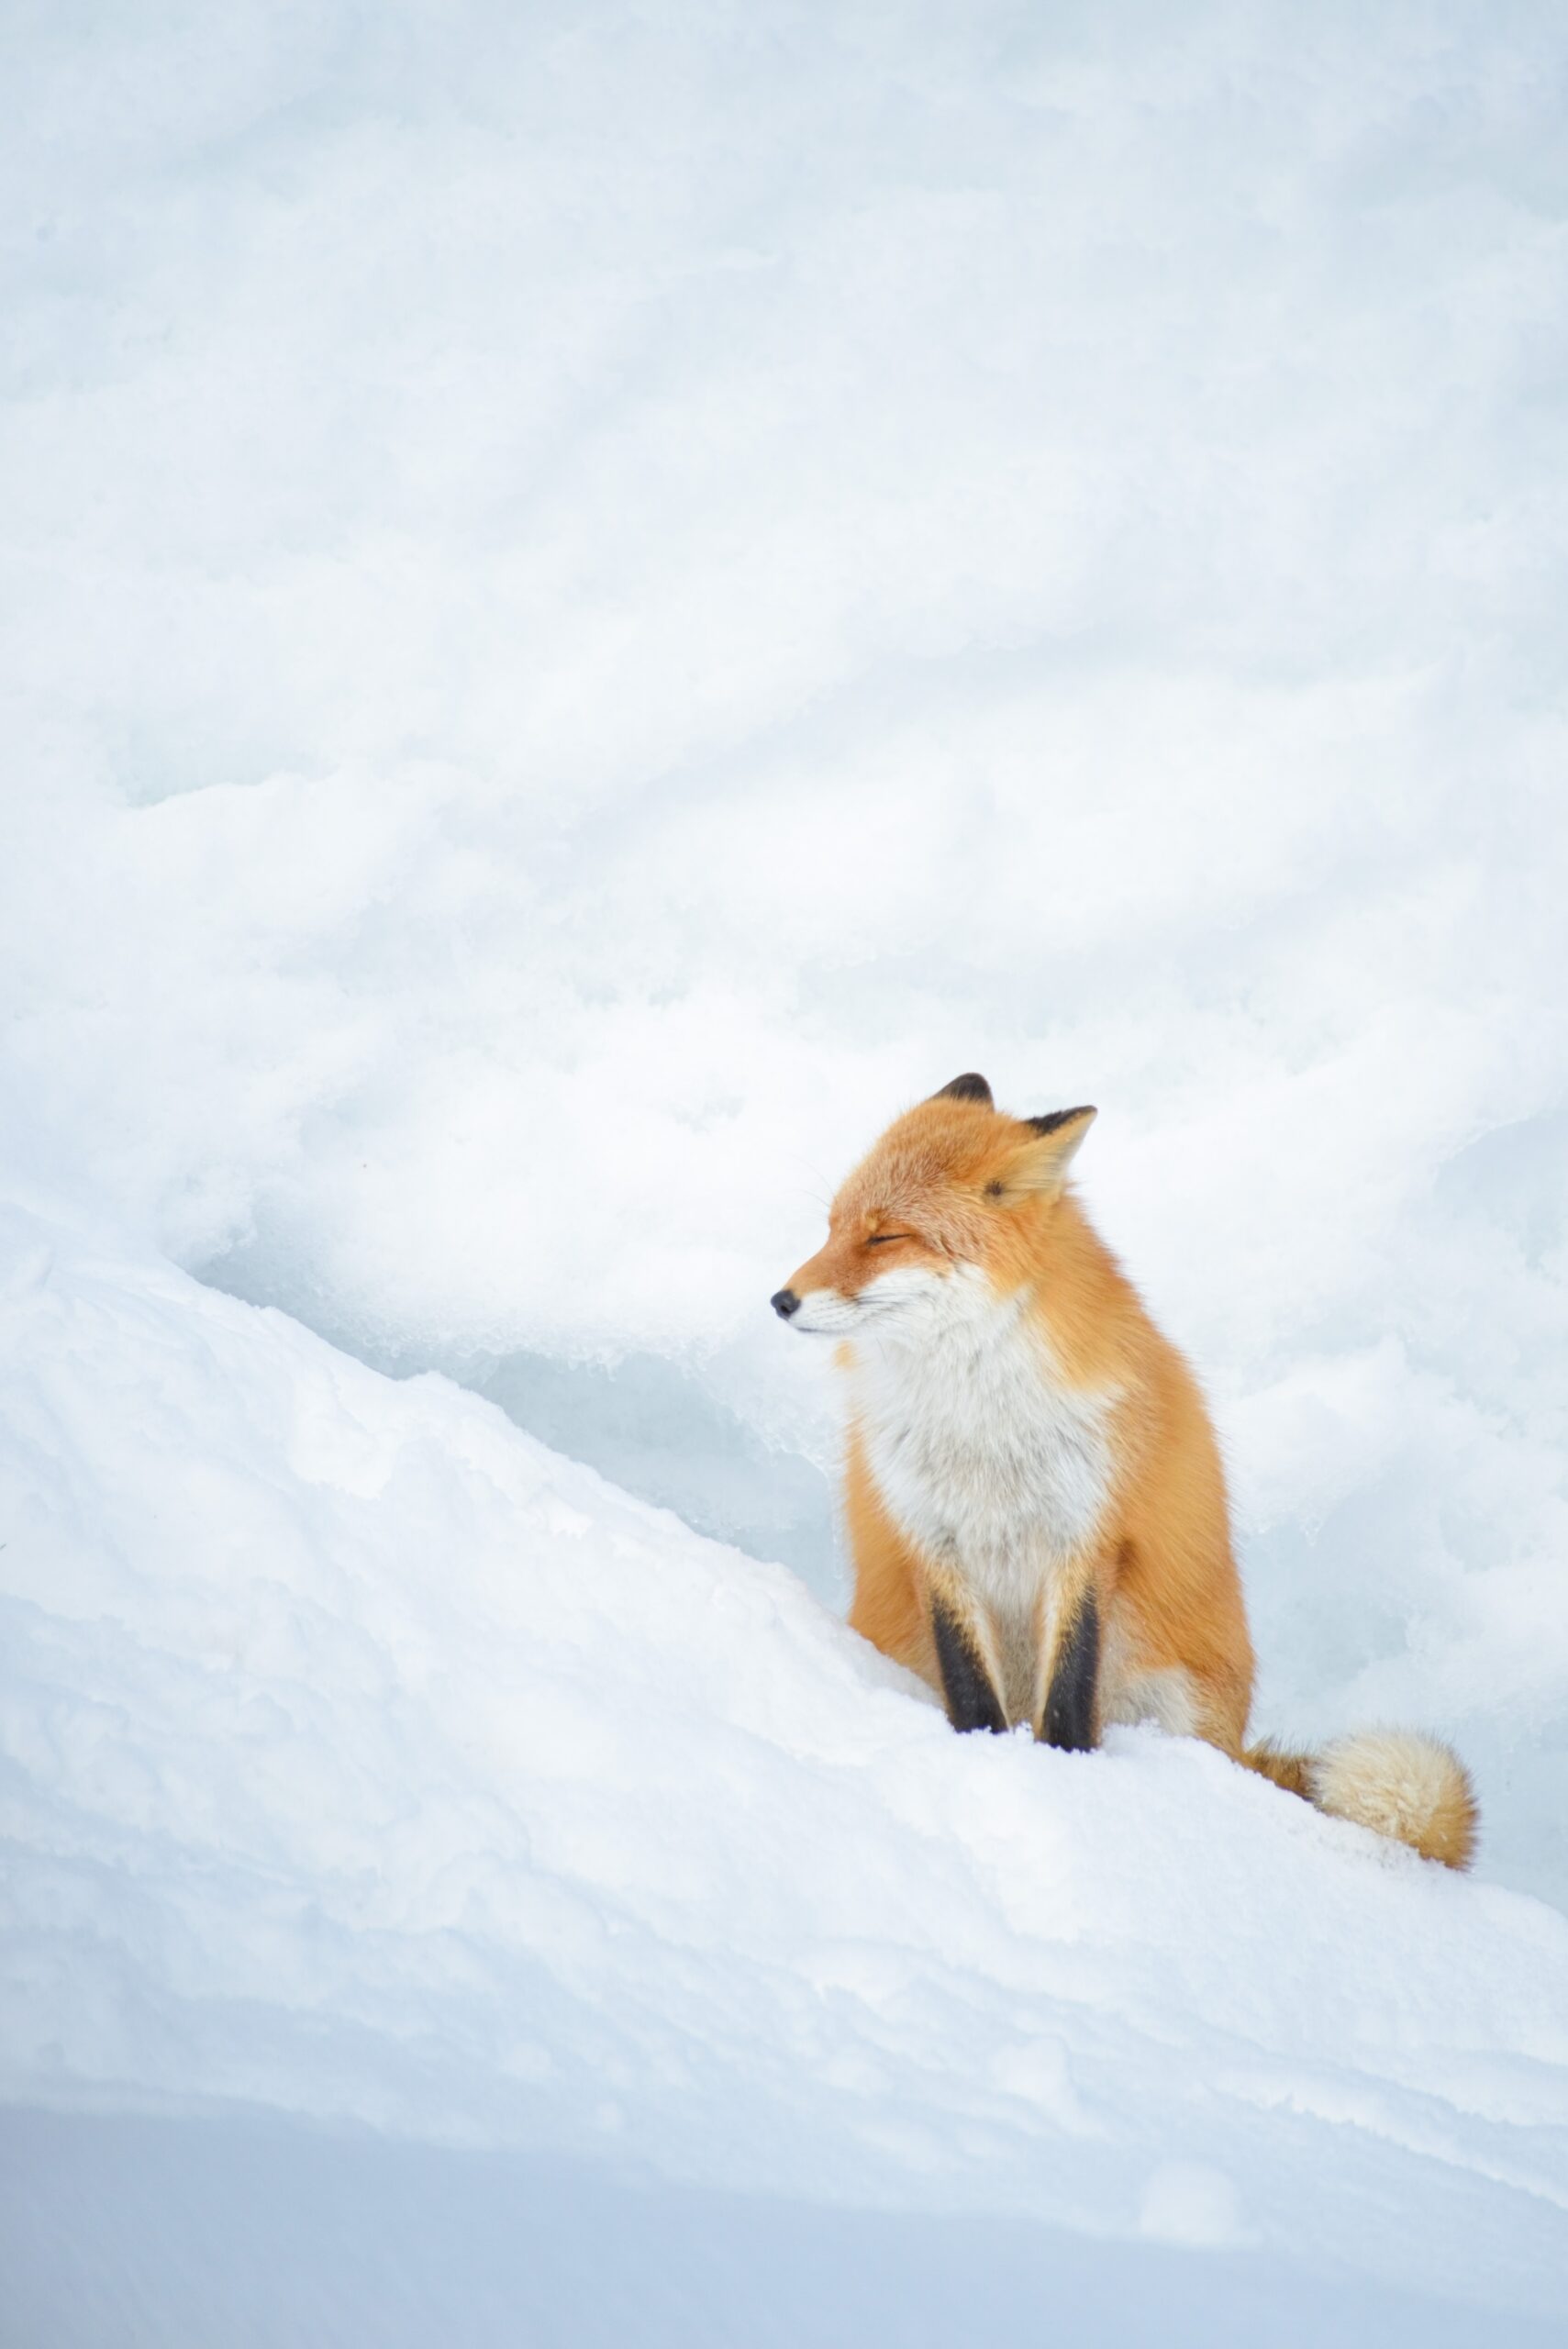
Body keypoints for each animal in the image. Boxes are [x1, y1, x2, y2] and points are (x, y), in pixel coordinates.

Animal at [779, 1075, 1473, 1869]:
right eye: (830, 1228)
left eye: (884, 1236)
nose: (780, 1300)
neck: (978, 1423)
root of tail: (1233, 1745)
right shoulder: (931, 1539)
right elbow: (972, 1693)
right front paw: (986, 1758)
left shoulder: (1085, 1535)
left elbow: (1067, 1696)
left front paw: (1068, 1781)